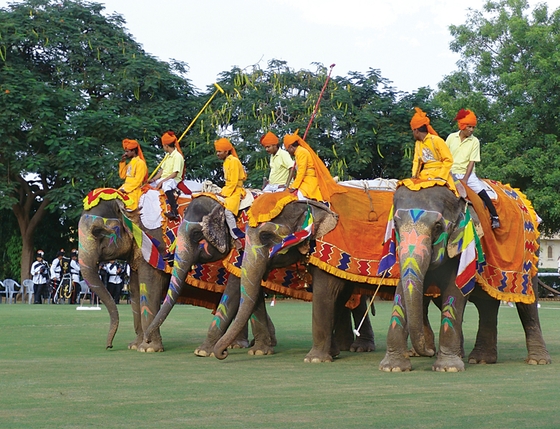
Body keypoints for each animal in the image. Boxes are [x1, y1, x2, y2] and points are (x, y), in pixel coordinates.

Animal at [143, 194, 276, 354]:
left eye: (196, 234)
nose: (147, 339)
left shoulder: (247, 245)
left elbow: (235, 288)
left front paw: (202, 351)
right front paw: (260, 350)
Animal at [212, 194, 388, 362]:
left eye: (266, 235)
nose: (224, 353)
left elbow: (325, 292)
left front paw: (314, 359)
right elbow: (338, 296)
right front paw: (332, 353)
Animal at [376, 185, 552, 372]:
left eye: (437, 226)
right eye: (395, 224)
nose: (429, 351)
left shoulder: (464, 244)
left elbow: (454, 291)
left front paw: (448, 368)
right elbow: (403, 290)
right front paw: (392, 368)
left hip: (531, 255)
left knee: (527, 304)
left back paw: (538, 361)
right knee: (486, 305)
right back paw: (482, 360)